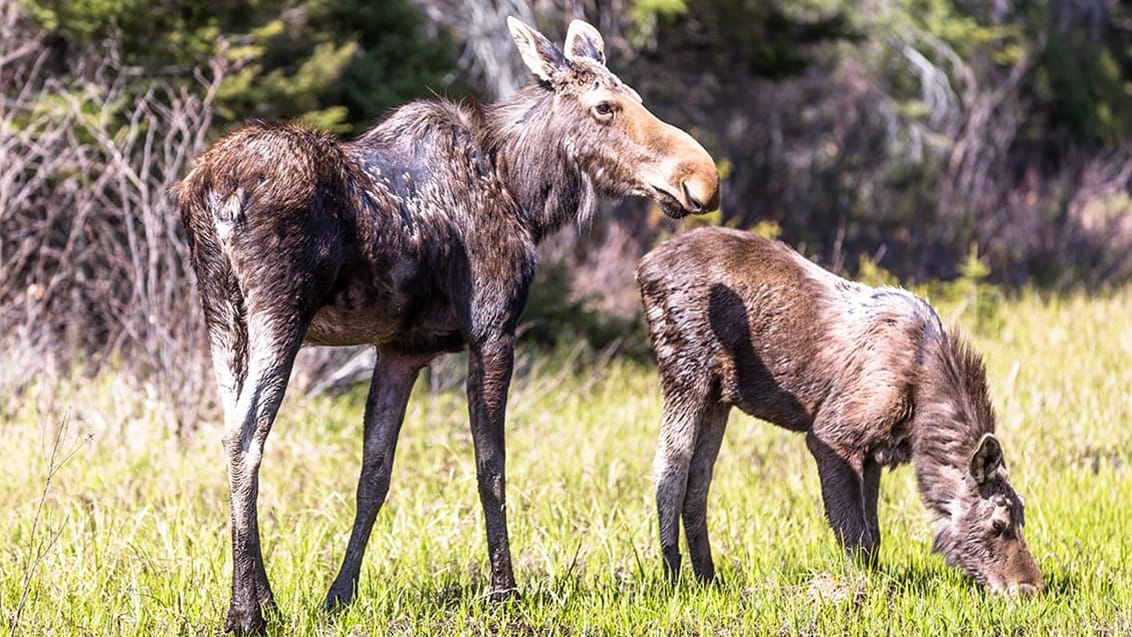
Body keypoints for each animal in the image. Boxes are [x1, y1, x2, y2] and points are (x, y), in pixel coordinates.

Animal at [181, 14, 719, 633]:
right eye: (605, 106)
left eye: (637, 98)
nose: (701, 178)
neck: (526, 195)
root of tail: (212, 192)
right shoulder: (492, 331)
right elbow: (492, 468)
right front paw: (506, 593)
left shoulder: (400, 349)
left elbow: (374, 473)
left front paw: (340, 593)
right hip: (279, 309)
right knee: (246, 435)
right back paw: (246, 610)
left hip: (223, 315)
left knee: (229, 429)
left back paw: (262, 597)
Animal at [638, 226, 1041, 597]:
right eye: (998, 524)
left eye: (1022, 514)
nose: (1030, 587)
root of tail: (644, 266)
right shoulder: (831, 435)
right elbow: (855, 534)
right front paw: (865, 591)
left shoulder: (875, 453)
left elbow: (873, 534)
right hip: (684, 372)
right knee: (669, 470)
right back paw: (673, 578)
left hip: (718, 398)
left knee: (699, 480)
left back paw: (708, 578)